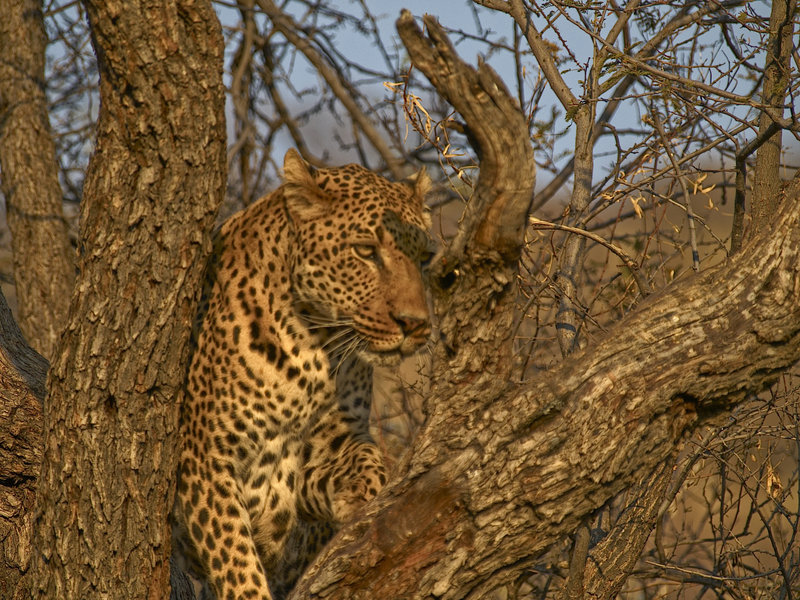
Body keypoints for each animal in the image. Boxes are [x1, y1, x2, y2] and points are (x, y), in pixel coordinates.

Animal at [173, 148, 433, 600]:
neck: (314, 344)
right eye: (365, 251)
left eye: (423, 258)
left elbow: (368, 457)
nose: (414, 324)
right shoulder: (204, 459)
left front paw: (362, 499)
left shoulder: (326, 444)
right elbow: (236, 560)